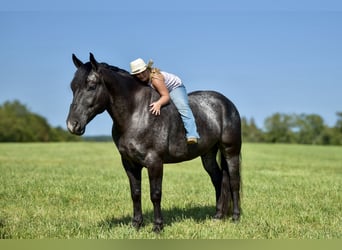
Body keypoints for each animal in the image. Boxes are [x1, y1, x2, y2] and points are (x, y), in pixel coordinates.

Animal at [67, 53, 242, 232]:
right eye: (72, 87)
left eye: (92, 86)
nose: (72, 125)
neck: (137, 113)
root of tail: (227, 103)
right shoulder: (129, 163)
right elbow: (135, 193)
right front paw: (136, 224)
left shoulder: (154, 162)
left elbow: (155, 194)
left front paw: (157, 226)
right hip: (208, 154)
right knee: (218, 180)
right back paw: (218, 216)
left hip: (231, 151)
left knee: (233, 181)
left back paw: (235, 217)